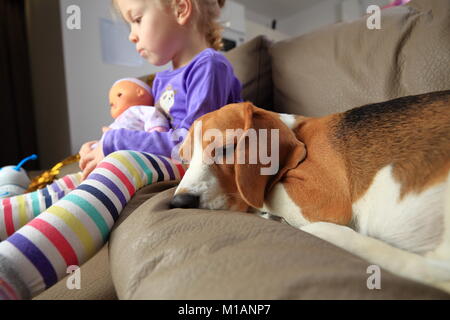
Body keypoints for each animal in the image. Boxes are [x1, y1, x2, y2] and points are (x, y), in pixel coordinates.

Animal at [171, 90, 450, 292]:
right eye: (184, 160)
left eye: (226, 149)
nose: (180, 202)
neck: (297, 132)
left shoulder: (324, 199)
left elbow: (266, 195)